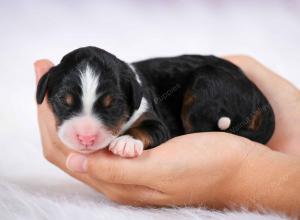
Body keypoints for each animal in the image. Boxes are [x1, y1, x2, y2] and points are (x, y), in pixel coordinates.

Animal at [36, 46, 276, 156]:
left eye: (112, 105)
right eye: (63, 101)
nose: (86, 138)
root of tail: (255, 91)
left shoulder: (154, 119)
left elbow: (150, 129)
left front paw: (126, 142)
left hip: (205, 86)